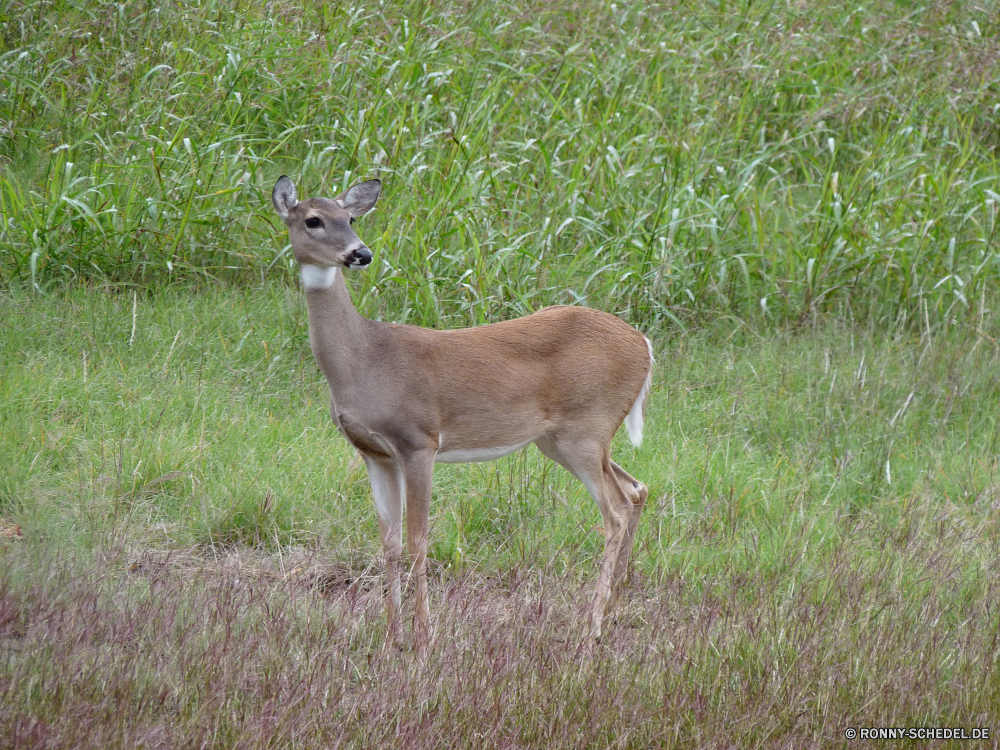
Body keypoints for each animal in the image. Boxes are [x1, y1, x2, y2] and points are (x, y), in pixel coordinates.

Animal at [270, 176, 652, 652]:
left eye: (351, 219)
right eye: (313, 220)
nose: (361, 253)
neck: (365, 360)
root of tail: (644, 346)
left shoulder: (419, 441)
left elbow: (418, 540)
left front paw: (424, 635)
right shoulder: (374, 453)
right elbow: (389, 543)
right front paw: (392, 637)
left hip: (586, 427)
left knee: (615, 512)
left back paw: (591, 628)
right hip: (561, 439)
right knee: (636, 489)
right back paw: (613, 611)